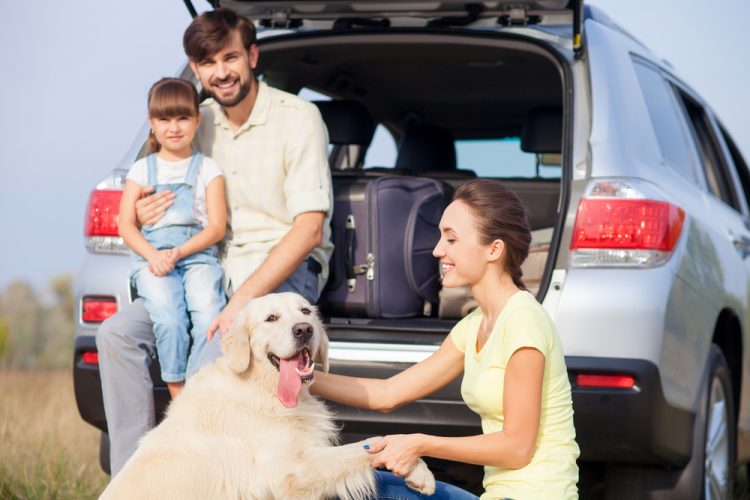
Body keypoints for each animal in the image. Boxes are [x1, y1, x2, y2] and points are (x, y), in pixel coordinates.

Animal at [103, 292, 438, 500]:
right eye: (271, 318)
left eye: (305, 311)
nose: (303, 329)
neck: (262, 389)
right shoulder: (291, 471)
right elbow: (368, 445)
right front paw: (421, 472)